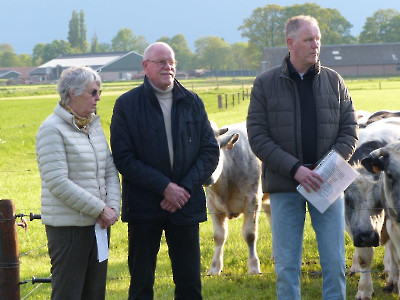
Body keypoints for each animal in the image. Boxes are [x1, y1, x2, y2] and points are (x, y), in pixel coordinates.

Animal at [205, 122, 270, 274]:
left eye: (216, 150)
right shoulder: (212, 205)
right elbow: (219, 236)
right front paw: (215, 268)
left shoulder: (252, 201)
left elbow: (250, 234)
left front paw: (254, 267)